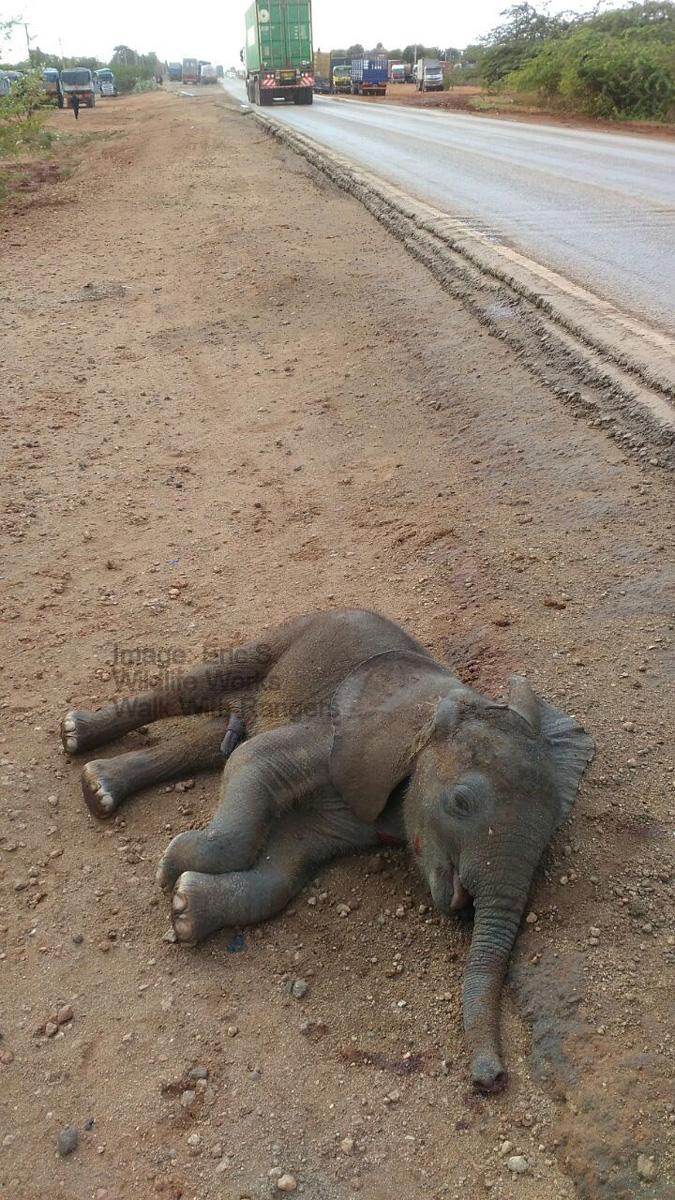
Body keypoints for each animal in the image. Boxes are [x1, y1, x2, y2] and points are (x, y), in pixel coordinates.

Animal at [60, 609, 590, 1089]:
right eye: (460, 802)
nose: (492, 1079)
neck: (438, 710)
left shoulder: (364, 814)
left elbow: (287, 866)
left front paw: (186, 908)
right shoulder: (340, 736)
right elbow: (254, 763)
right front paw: (172, 867)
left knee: (217, 739)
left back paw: (99, 788)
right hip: (290, 634)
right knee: (193, 690)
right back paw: (77, 741)